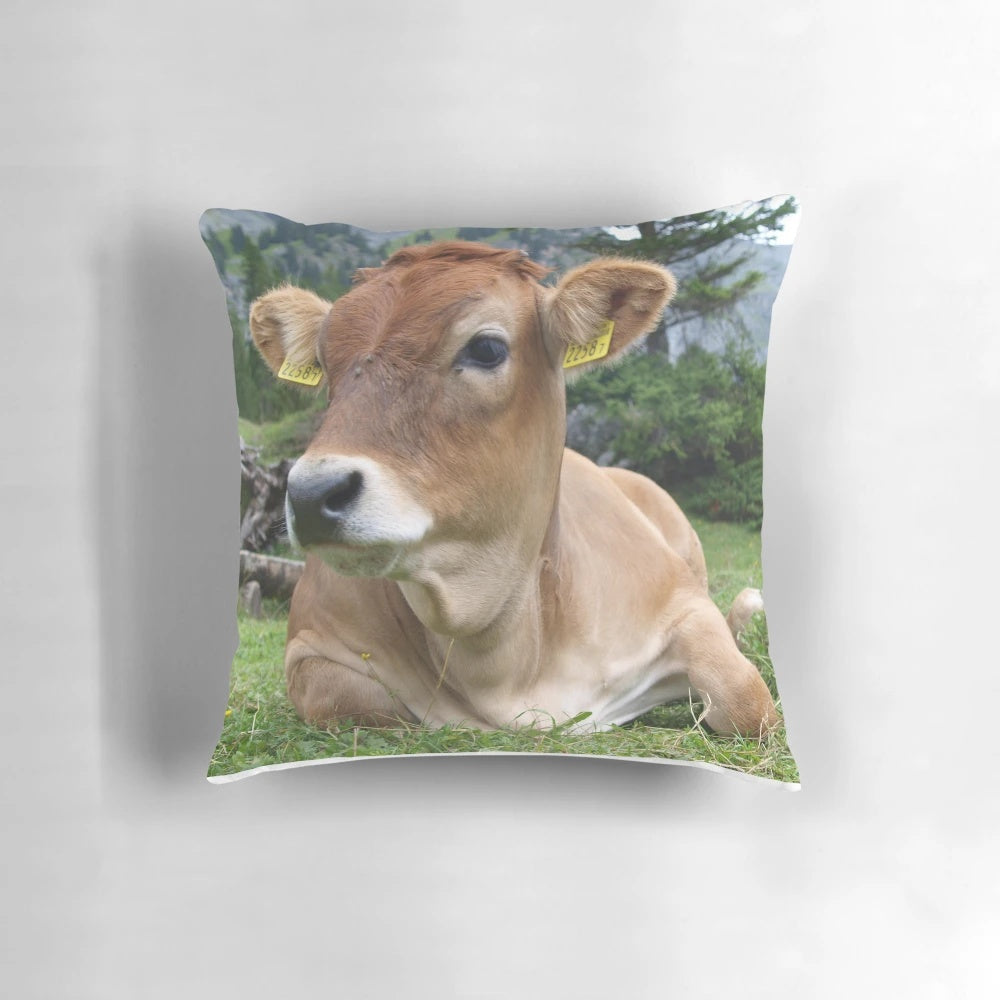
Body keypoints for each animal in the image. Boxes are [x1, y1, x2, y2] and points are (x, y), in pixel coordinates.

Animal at [248, 241, 778, 738]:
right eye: (323, 362)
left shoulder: (682, 603)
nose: (310, 495)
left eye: (486, 348)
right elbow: (342, 699)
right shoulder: (309, 648)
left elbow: (747, 699)